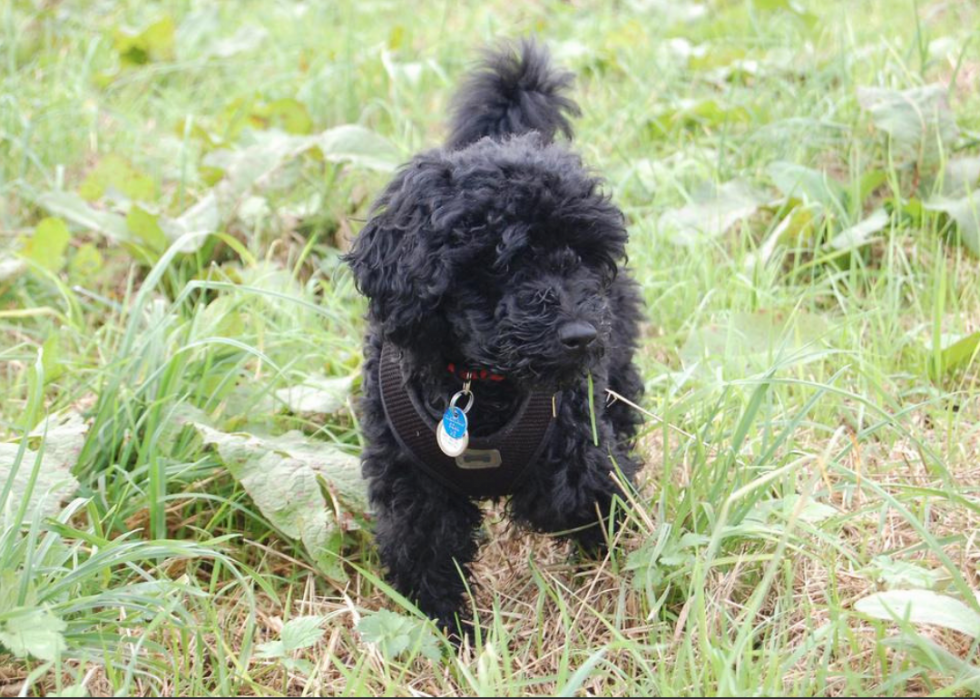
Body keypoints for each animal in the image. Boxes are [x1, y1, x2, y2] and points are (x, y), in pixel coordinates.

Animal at [344, 42, 644, 636]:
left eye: (586, 257)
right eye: (506, 261)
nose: (581, 335)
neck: (477, 385)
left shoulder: (581, 447)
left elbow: (581, 495)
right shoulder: (413, 487)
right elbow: (426, 556)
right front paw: (448, 633)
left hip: (618, 371)